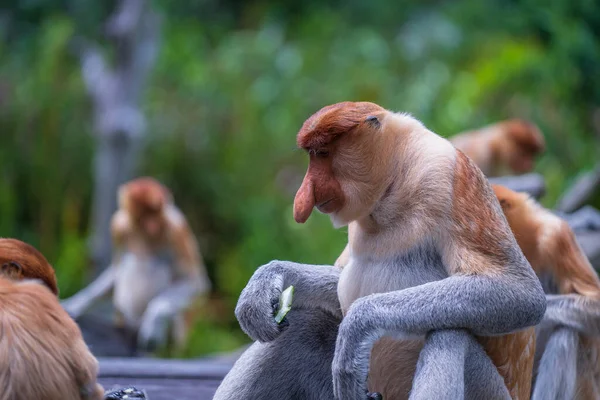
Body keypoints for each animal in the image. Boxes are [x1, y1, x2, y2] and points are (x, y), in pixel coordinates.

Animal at [61, 177, 211, 352]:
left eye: (156, 212)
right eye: (147, 214)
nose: (154, 225)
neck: (144, 233)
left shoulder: (176, 229)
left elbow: (195, 282)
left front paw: (154, 324)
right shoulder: (118, 226)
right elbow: (115, 270)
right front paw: (73, 304)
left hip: (176, 334)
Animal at [213, 103, 548, 400]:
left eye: (322, 154)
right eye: (313, 156)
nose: (303, 196)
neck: (394, 184)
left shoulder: (450, 177)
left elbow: (521, 293)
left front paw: (357, 328)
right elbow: (338, 281)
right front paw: (264, 283)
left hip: (488, 392)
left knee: (449, 334)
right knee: (306, 324)